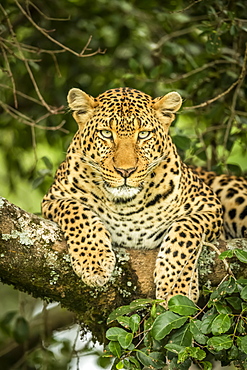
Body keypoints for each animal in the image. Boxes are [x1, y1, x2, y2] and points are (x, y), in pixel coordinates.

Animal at [41, 86, 246, 304]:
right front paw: (94, 262)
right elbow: (77, 212)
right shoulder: (52, 198)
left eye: (144, 135)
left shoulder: (210, 205)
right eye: (106, 133)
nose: (125, 171)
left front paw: (176, 288)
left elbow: (184, 231)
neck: (124, 204)